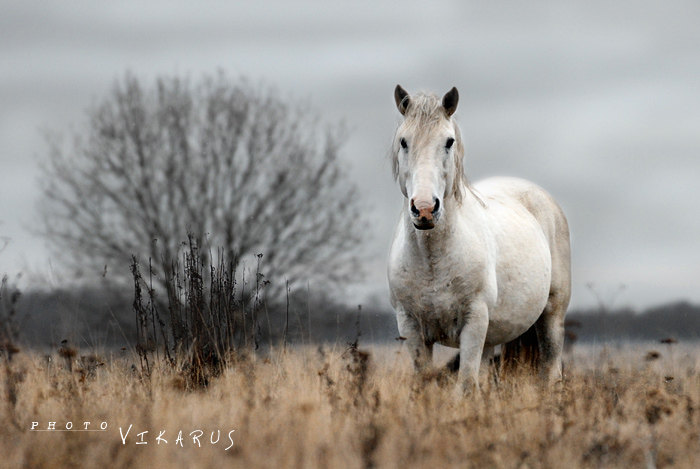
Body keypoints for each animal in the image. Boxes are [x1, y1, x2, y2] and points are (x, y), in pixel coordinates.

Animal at [388, 85, 568, 392]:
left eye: (448, 141)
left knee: (551, 369)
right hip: (491, 338)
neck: (433, 261)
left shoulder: (474, 323)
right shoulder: (411, 327)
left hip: (551, 317)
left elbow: (465, 386)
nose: (424, 209)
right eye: (404, 141)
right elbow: (427, 382)